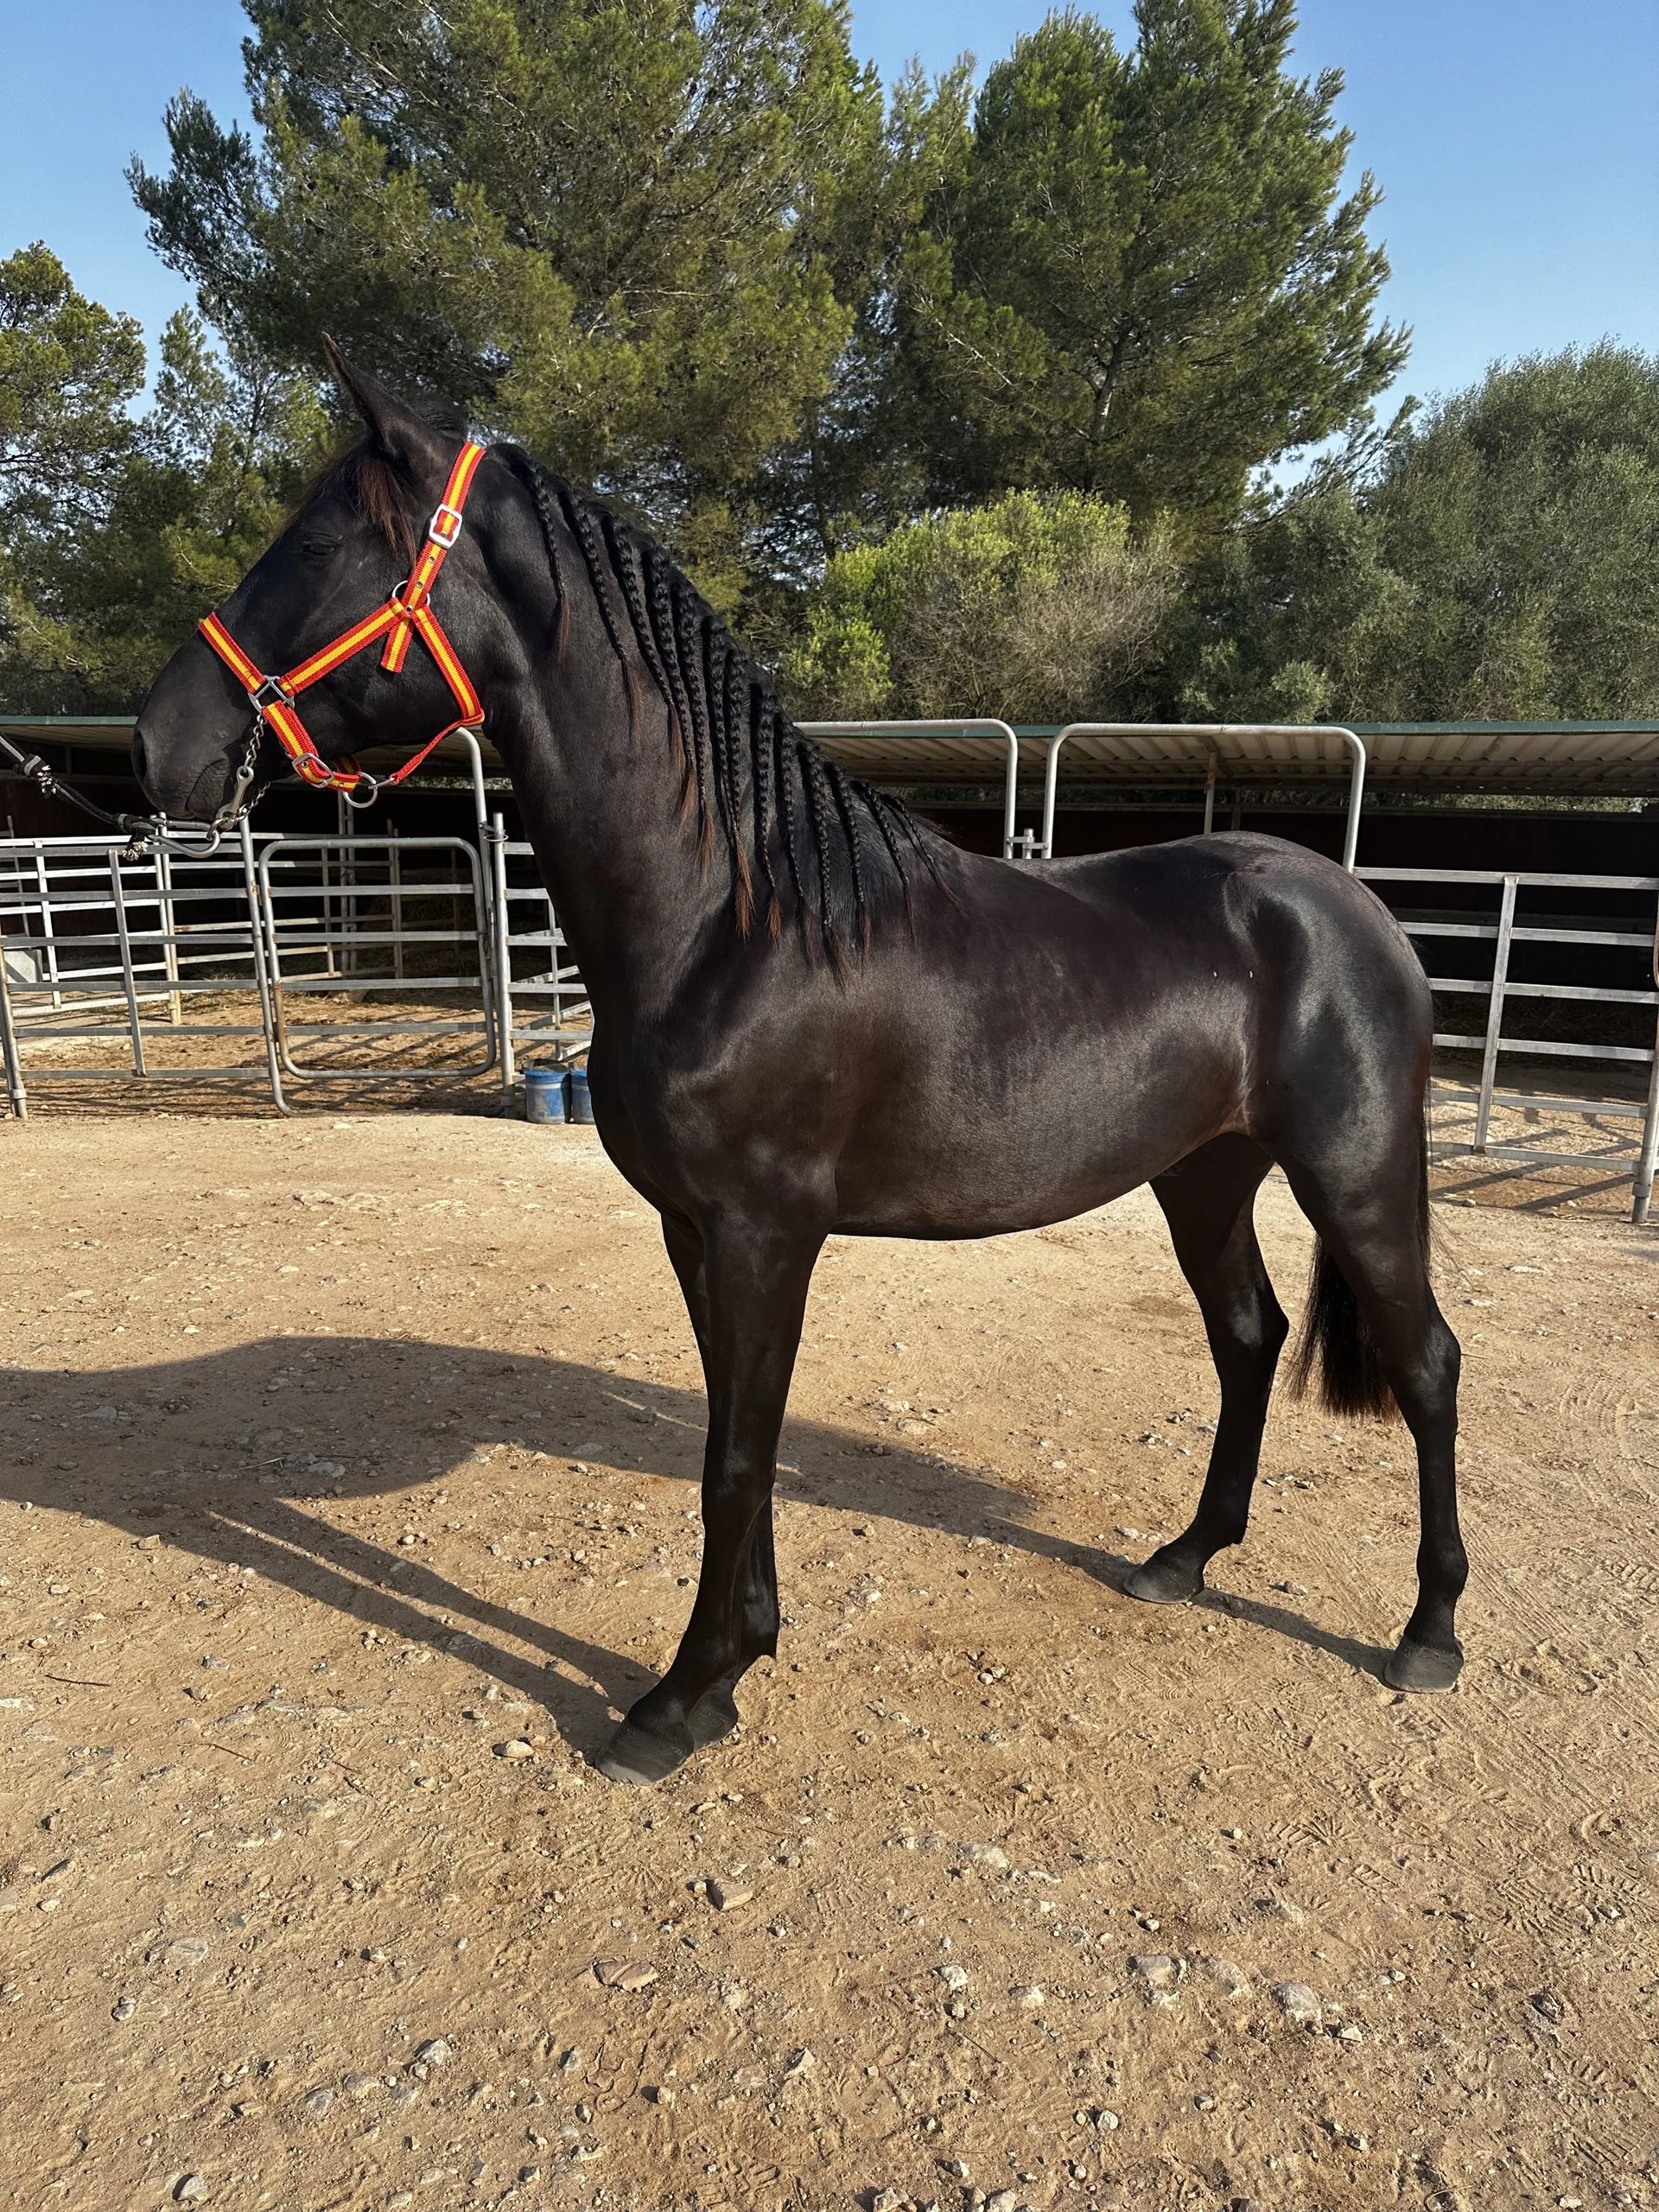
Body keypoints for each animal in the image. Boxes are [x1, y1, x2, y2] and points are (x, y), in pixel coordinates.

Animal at [131, 347, 1467, 1785]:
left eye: (318, 545)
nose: (159, 742)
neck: (732, 920)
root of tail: (1351, 903)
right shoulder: (695, 1233)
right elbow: (737, 1437)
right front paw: (733, 1668)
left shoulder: (765, 1233)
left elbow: (734, 1460)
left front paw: (673, 1701)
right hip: (1204, 1174)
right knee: (1247, 1337)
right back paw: (1185, 1558)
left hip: (1357, 1174)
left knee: (1427, 1364)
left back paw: (1428, 1633)